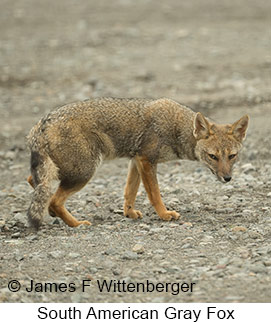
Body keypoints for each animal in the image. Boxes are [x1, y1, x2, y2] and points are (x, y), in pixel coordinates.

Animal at [26, 97, 250, 229]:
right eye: (213, 156)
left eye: (232, 156)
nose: (227, 178)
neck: (176, 126)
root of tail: (42, 122)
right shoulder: (147, 160)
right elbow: (155, 194)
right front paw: (164, 214)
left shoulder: (136, 160)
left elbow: (130, 191)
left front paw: (129, 212)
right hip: (83, 172)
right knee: (54, 199)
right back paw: (76, 223)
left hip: (63, 170)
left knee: (35, 182)